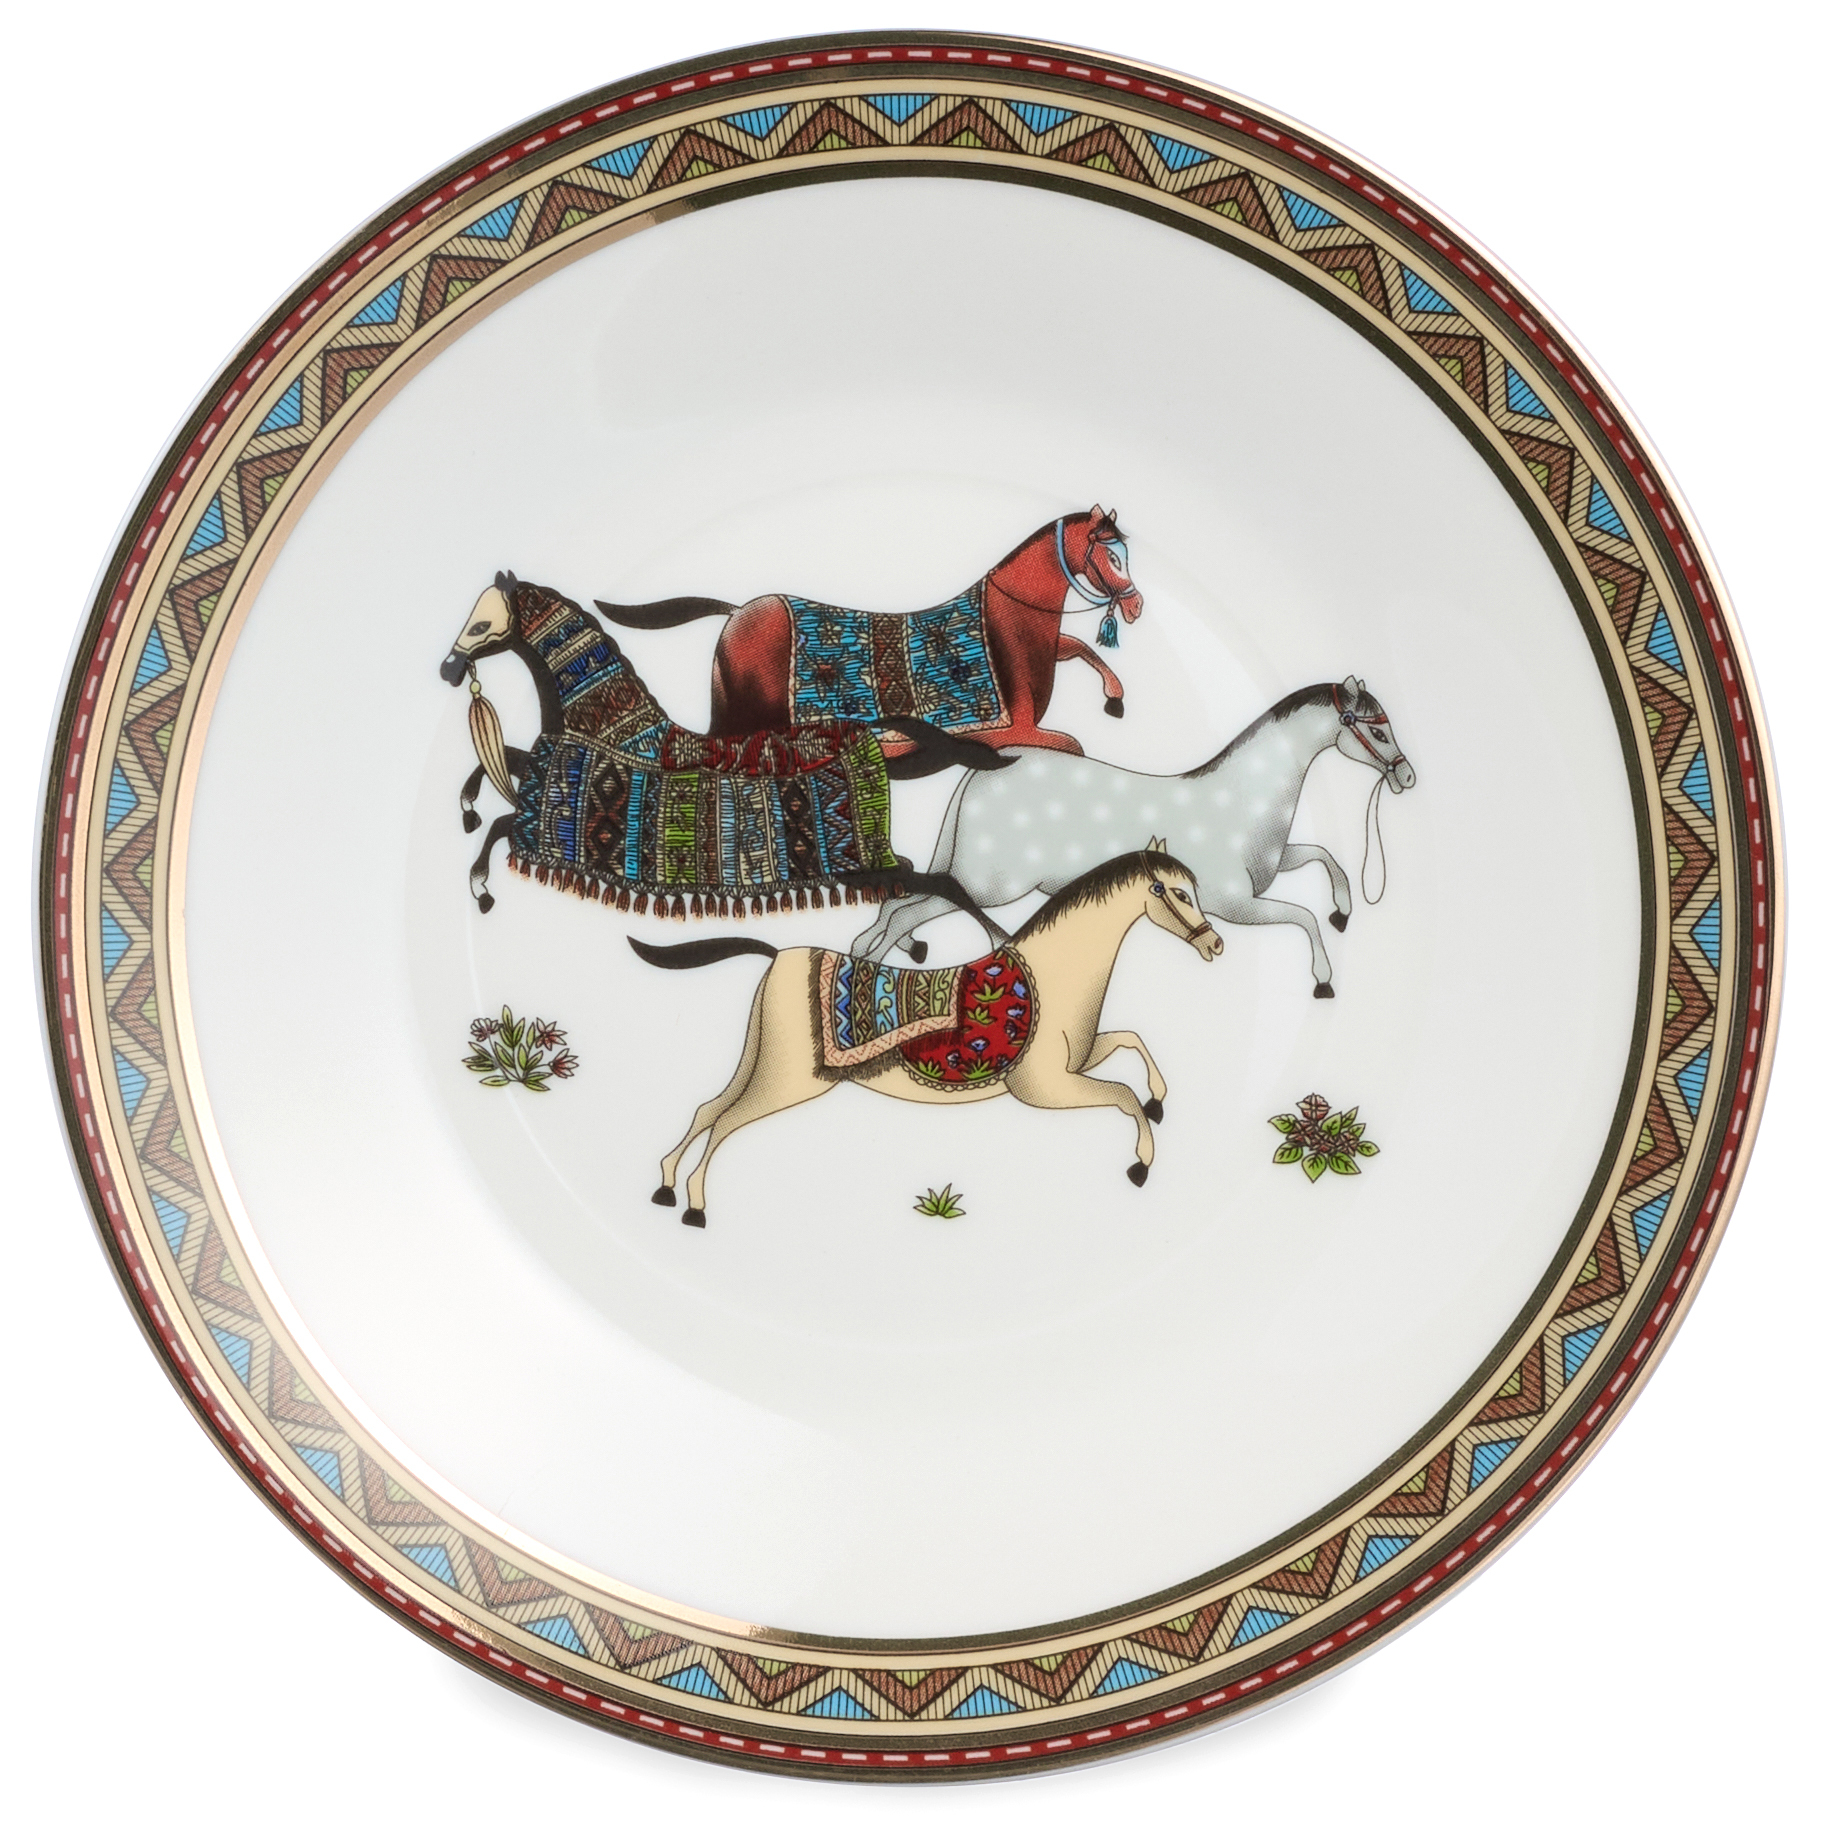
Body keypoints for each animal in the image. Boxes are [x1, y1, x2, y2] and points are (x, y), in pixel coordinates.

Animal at [439, 575, 1011, 930]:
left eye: (481, 624)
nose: (447, 669)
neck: (610, 726)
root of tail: (868, 733)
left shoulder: (548, 817)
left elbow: (500, 825)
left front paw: (480, 886)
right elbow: (492, 778)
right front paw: (468, 814)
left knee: (944, 885)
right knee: (927, 882)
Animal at [592, 506, 1143, 757]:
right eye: (1112, 556)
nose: (1136, 606)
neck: (1008, 621)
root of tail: (738, 612)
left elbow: (1080, 648)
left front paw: (1115, 697)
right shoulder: (1014, 730)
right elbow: (1073, 743)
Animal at [631, 843, 1222, 1226]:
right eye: (1173, 891)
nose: (1214, 945)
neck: (1054, 975)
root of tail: (779, 955)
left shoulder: (1077, 1063)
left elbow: (1131, 1041)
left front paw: (1160, 1101)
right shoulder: (1046, 1088)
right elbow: (1123, 1097)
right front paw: (1140, 1165)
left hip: (762, 1060)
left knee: (709, 1109)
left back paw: (664, 1187)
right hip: (788, 1079)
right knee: (725, 1121)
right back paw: (695, 1207)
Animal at [851, 678, 1416, 997]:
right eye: (1376, 729)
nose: (1407, 777)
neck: (1242, 802)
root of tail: (989, 767)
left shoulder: (1274, 870)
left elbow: (1325, 858)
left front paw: (1344, 909)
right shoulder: (1236, 905)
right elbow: (1302, 916)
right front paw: (1323, 979)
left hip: (969, 875)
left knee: (897, 909)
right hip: (990, 886)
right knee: (904, 913)